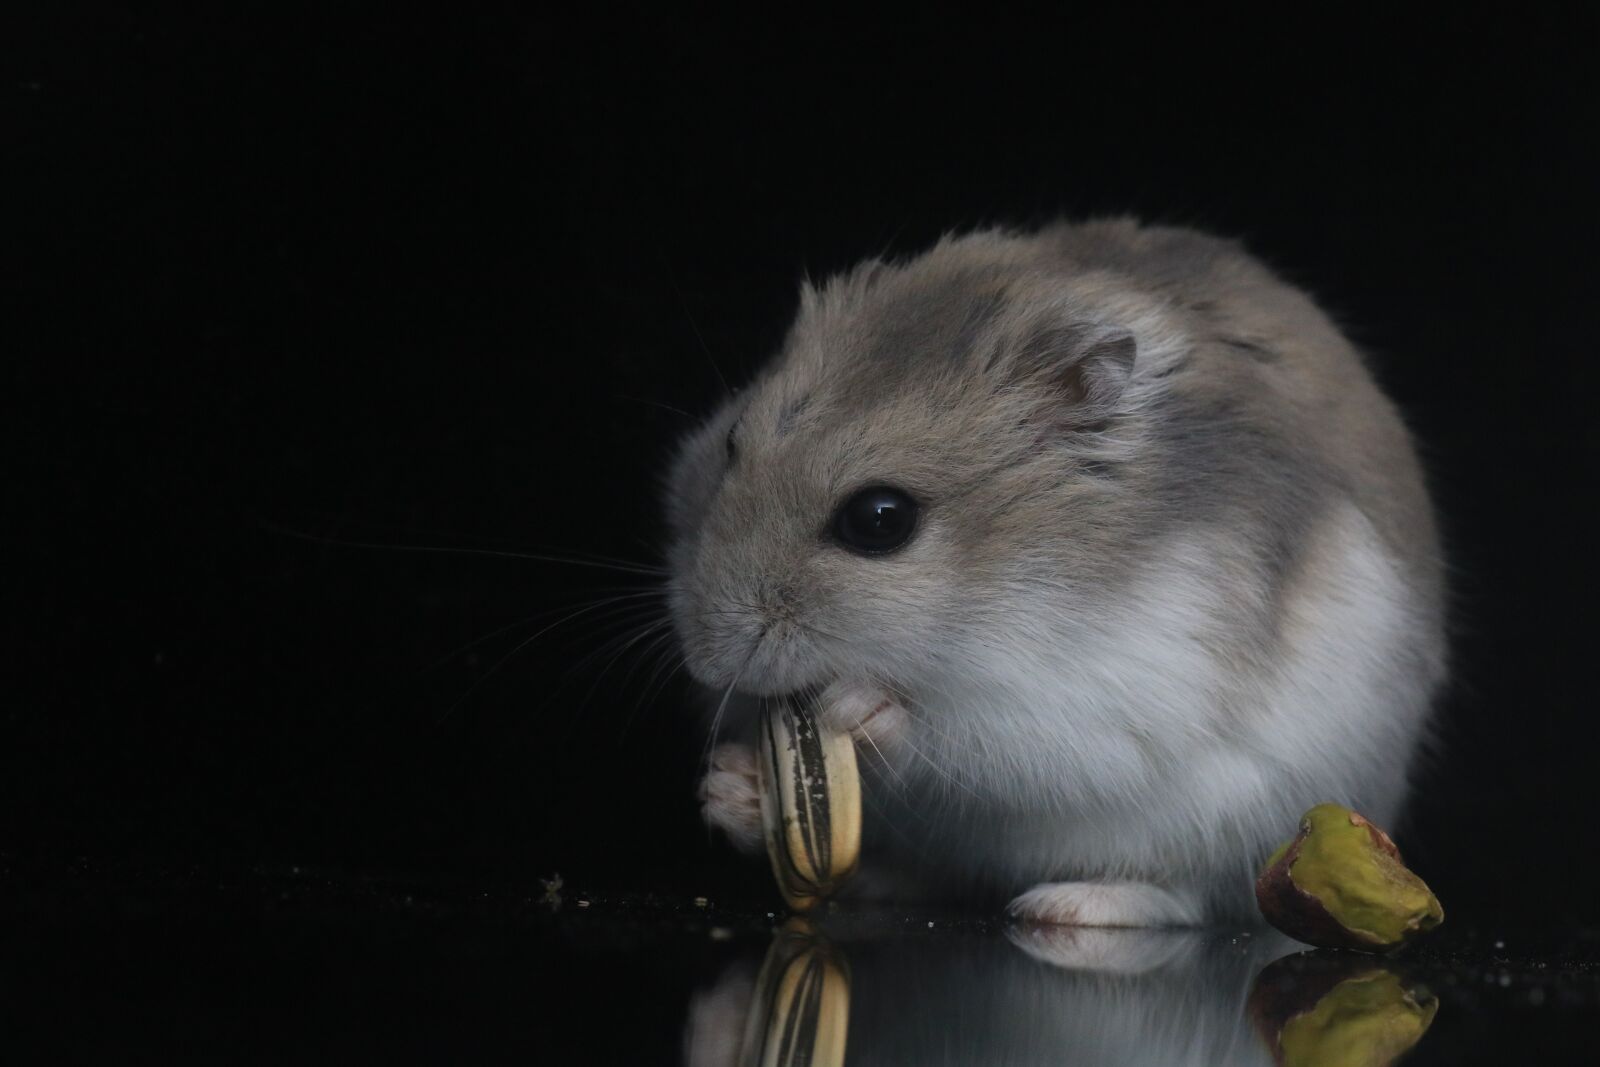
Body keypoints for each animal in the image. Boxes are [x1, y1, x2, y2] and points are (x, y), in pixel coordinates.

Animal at [665, 218, 1446, 925]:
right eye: (730, 445)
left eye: (879, 519)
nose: (706, 662)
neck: (995, 585)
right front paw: (726, 785)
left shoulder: (1097, 697)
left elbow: (957, 736)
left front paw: (853, 708)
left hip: (1240, 821)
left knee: (1179, 898)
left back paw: (1066, 907)